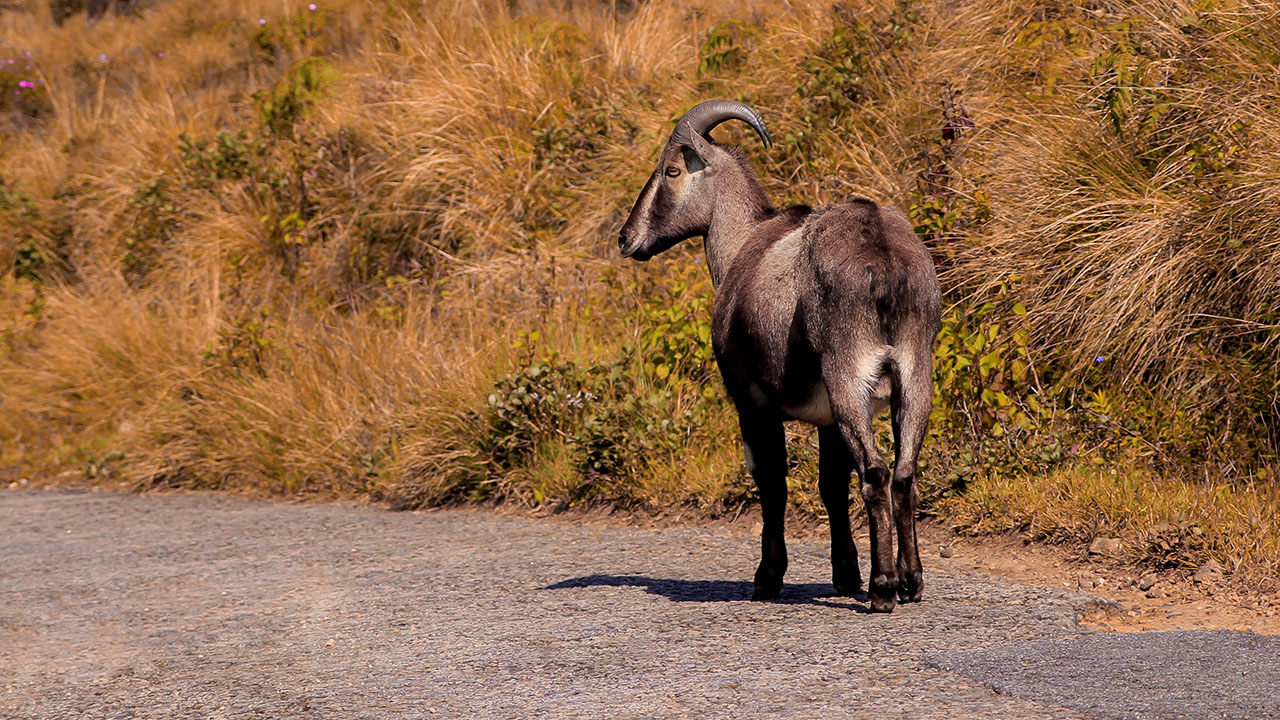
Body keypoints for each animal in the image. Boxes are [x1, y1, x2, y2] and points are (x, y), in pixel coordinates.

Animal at [616, 99, 942, 609]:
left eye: (671, 169)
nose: (626, 238)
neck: (743, 245)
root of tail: (884, 263)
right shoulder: (827, 418)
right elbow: (830, 484)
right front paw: (845, 573)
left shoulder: (751, 400)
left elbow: (771, 480)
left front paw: (767, 577)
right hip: (913, 375)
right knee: (904, 473)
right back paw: (911, 582)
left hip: (849, 375)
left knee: (875, 472)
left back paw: (883, 588)